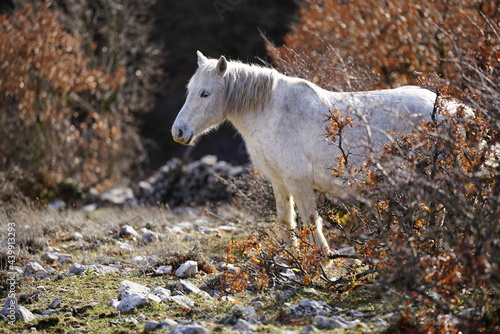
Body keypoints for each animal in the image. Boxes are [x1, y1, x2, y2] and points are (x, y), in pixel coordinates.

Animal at [172, 51, 438, 258]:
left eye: (205, 93)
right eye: (189, 90)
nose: (178, 131)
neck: (272, 114)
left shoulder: (298, 181)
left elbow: (310, 220)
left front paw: (323, 260)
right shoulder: (279, 181)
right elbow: (285, 219)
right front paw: (291, 257)